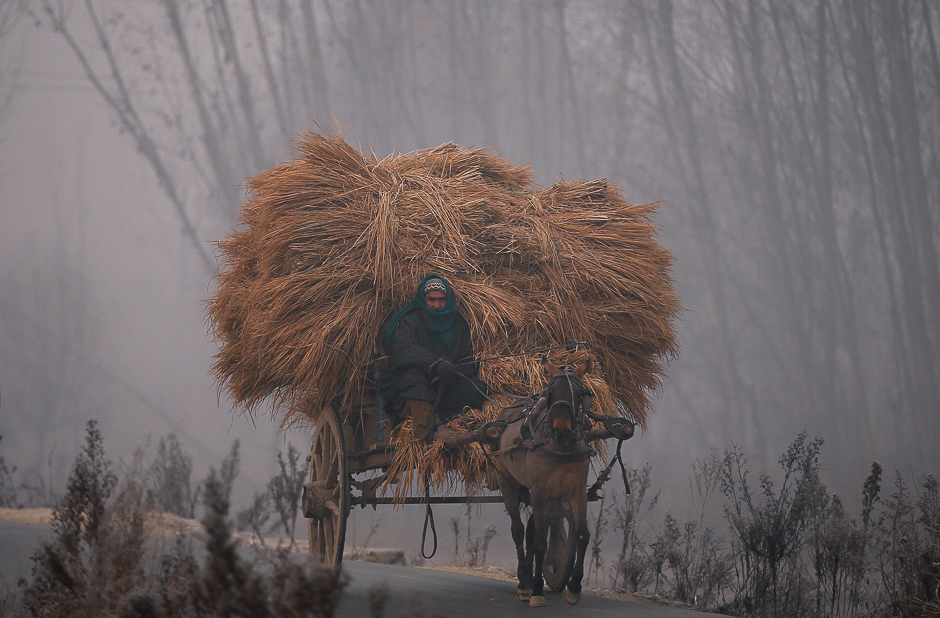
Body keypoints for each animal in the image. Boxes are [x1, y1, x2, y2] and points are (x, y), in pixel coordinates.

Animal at [492, 354, 596, 604]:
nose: (561, 432)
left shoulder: (576, 493)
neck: (561, 449)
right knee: (519, 530)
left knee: (531, 530)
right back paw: (524, 582)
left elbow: (582, 535)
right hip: (507, 482)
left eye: (579, 394)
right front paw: (537, 591)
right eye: (550, 392)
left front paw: (574, 587)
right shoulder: (540, 493)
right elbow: (540, 543)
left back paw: (529, 579)